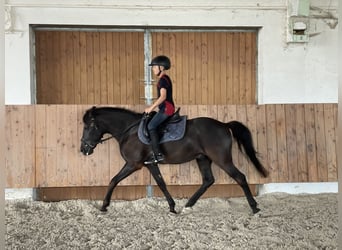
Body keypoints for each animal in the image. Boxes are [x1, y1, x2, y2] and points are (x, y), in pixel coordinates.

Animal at [80, 106, 268, 214]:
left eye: (88, 126)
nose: (83, 149)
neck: (130, 130)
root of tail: (223, 125)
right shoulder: (150, 165)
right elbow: (161, 184)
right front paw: (172, 207)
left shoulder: (133, 164)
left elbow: (113, 180)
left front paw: (104, 205)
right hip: (203, 159)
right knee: (208, 180)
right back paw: (188, 205)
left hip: (222, 160)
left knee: (240, 177)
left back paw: (254, 207)